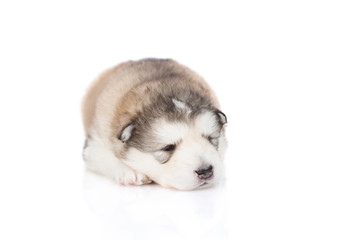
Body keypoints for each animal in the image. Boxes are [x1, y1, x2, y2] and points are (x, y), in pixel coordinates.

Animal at [81, 59, 227, 190]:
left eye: (210, 138)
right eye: (168, 148)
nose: (205, 171)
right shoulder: (94, 143)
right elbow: (103, 155)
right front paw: (130, 171)